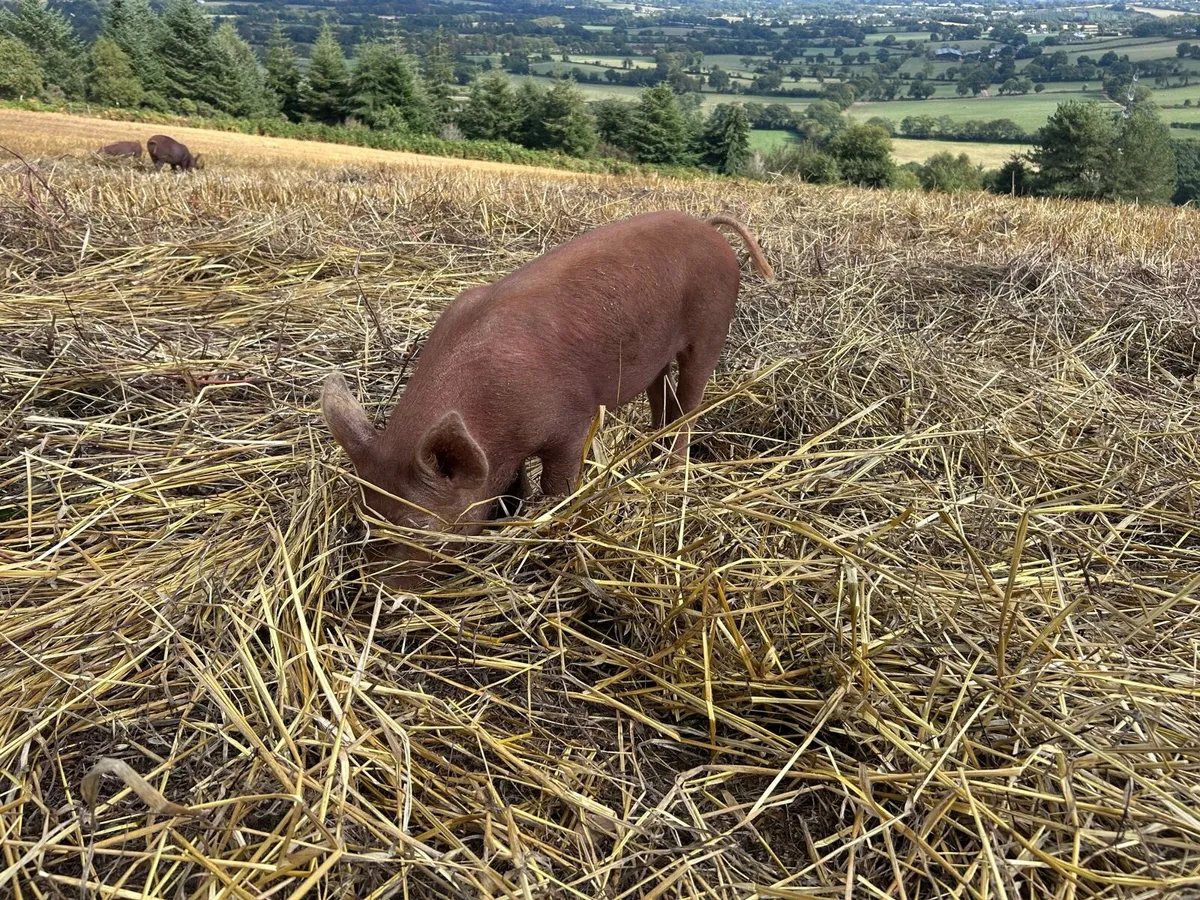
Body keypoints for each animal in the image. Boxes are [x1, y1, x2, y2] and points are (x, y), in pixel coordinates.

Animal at [321, 210, 774, 586]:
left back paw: (670, 468)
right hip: (656, 353)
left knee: (691, 400)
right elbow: (513, 482)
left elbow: (558, 482)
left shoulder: (572, 423)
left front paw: (552, 516)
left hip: (712, 325)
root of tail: (708, 228)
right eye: (362, 518)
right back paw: (650, 454)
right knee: (663, 395)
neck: (491, 417)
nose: (377, 590)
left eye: (422, 531)